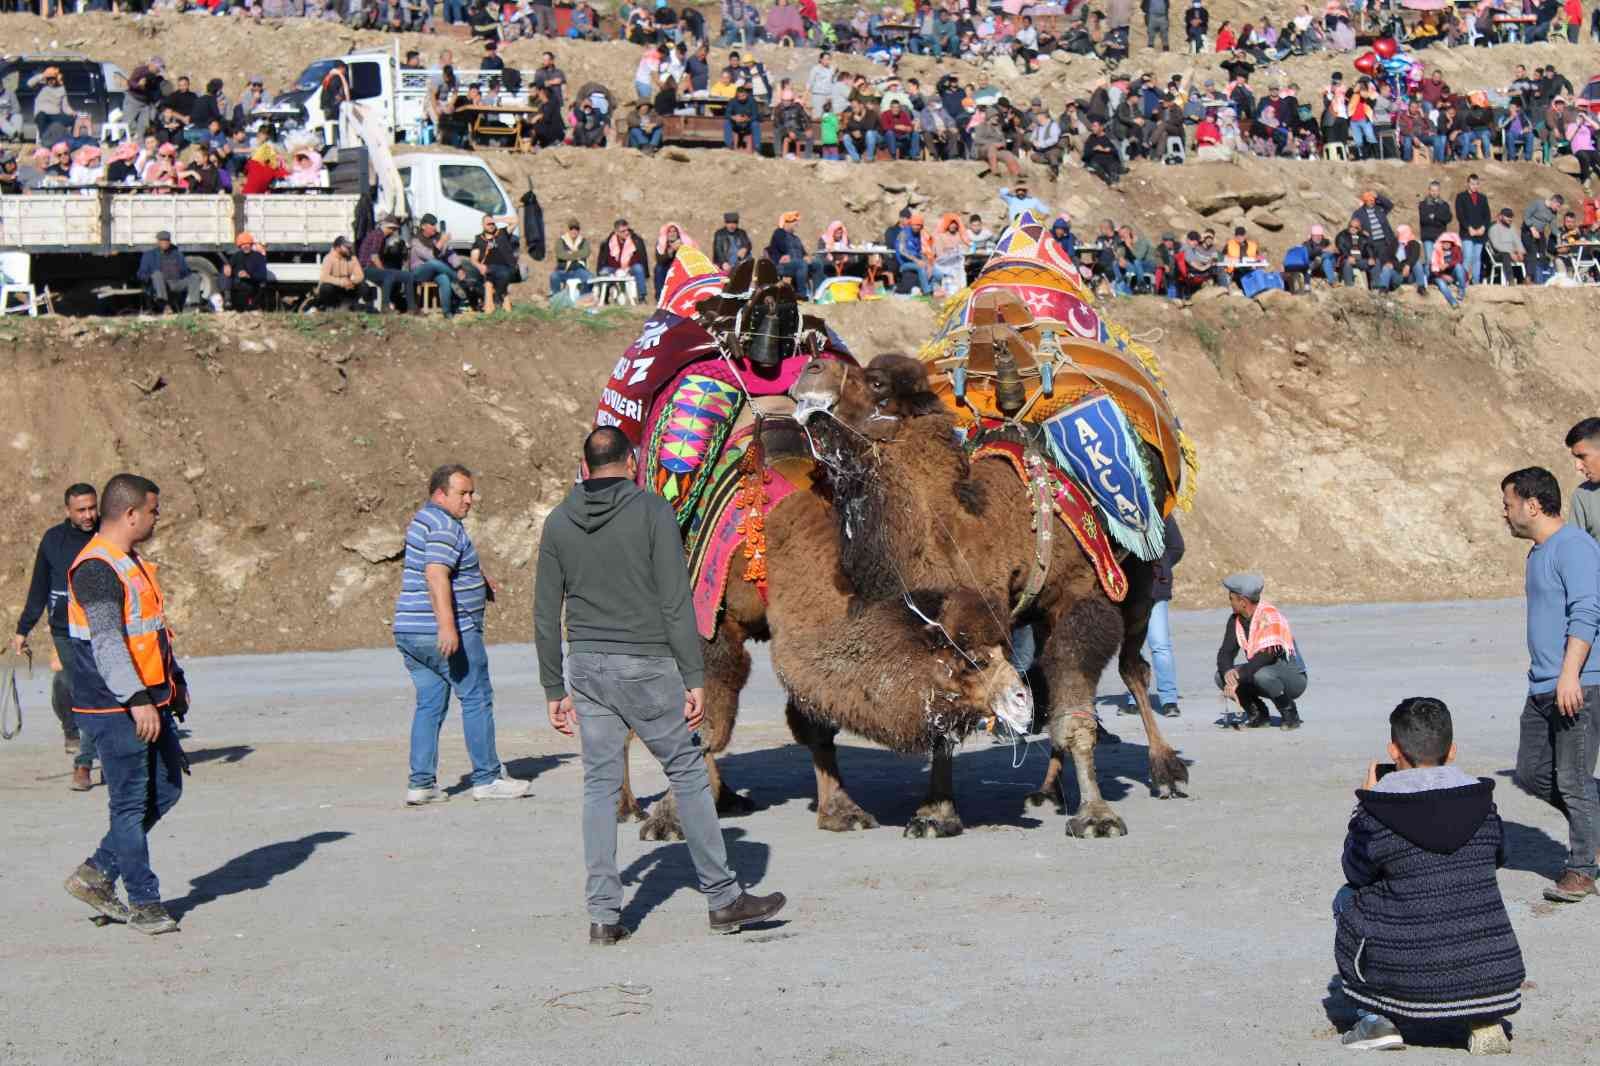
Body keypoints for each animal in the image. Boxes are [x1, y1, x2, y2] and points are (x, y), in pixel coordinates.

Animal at [787, 352, 1190, 832]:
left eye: (878, 383)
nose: (811, 365)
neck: (964, 530)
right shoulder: (948, 628)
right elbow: (945, 716)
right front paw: (935, 813)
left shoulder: (1080, 599)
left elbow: (1075, 710)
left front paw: (1097, 816)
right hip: (1038, 616)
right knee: (1046, 680)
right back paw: (1047, 789)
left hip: (1140, 583)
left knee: (1133, 668)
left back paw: (1166, 770)